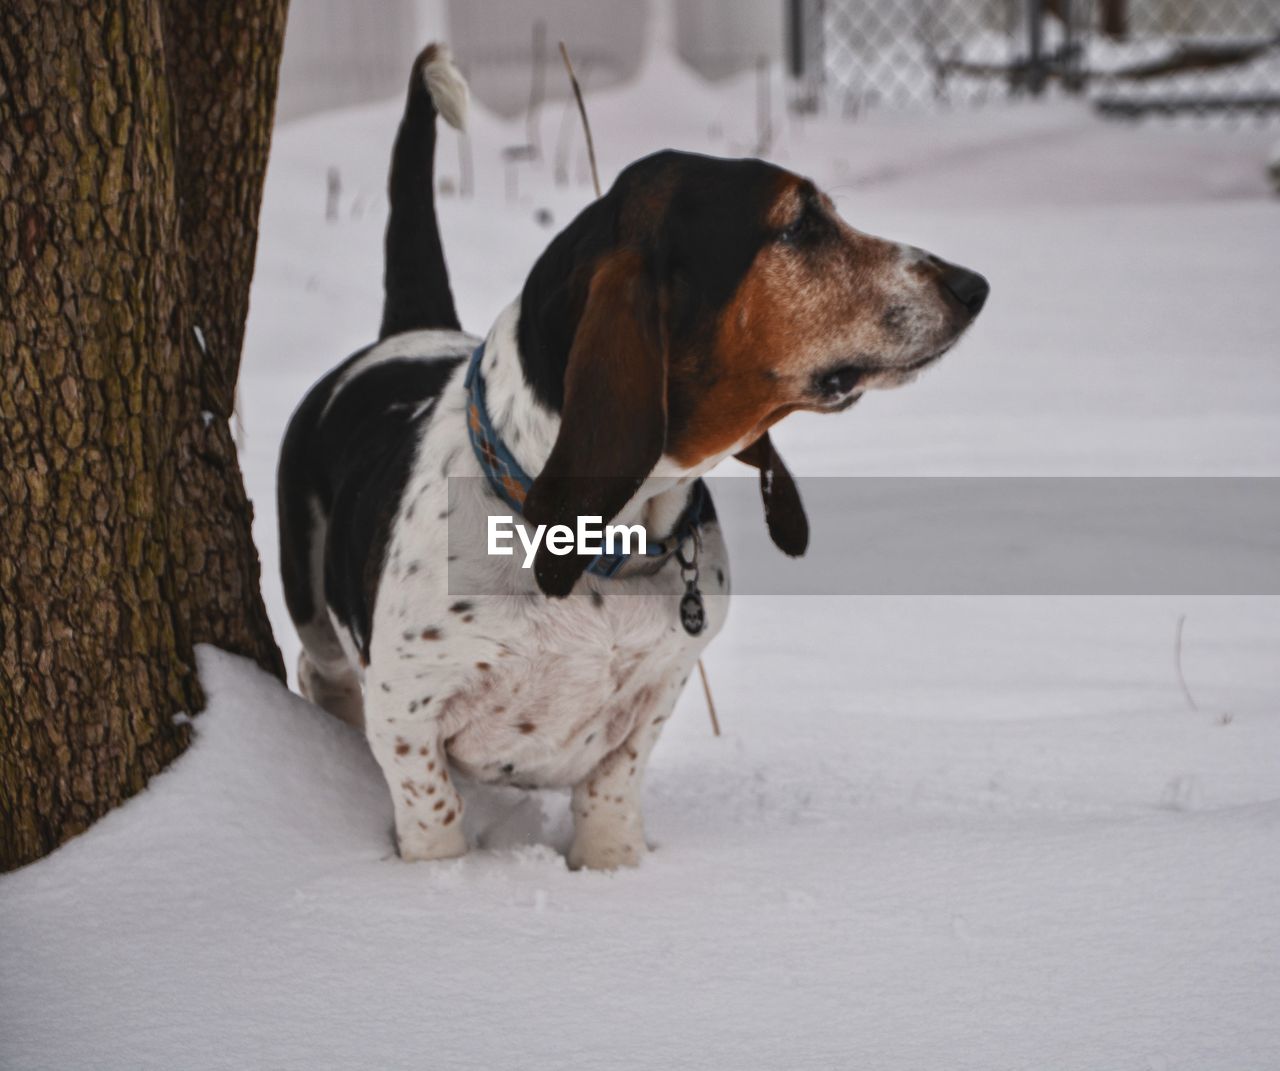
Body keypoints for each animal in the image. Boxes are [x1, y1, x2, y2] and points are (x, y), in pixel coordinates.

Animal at [275, 43, 983, 870]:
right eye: (801, 224)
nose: (973, 285)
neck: (606, 540)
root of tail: (410, 328)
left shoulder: (656, 693)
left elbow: (611, 793)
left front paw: (611, 868)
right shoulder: (407, 708)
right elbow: (433, 810)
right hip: (311, 604)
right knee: (319, 670)